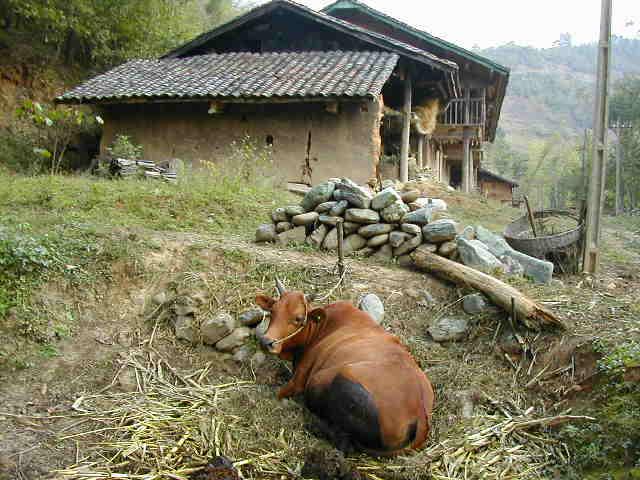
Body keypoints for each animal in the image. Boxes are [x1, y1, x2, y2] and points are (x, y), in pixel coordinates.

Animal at [255, 280, 436, 456]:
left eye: (298, 318)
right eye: (272, 311)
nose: (266, 342)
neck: (321, 327)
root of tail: (421, 416)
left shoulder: (299, 379)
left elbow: (279, 393)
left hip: (339, 380)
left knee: (344, 444)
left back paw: (314, 424)